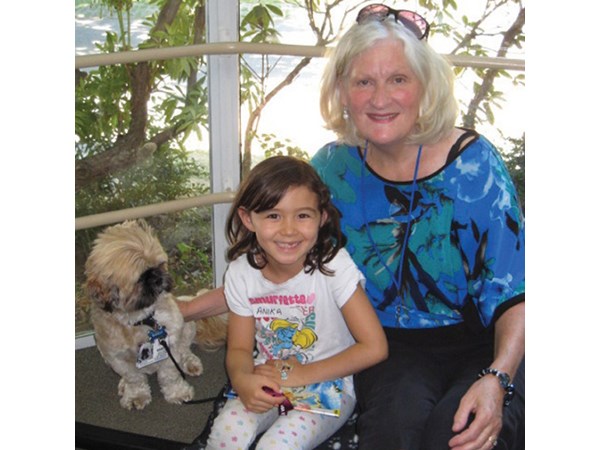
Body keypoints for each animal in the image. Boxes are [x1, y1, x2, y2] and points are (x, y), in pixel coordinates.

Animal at [84, 220, 225, 410]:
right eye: (140, 278)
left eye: (159, 265)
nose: (159, 278)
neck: (140, 320)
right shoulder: (116, 357)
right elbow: (134, 379)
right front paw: (136, 395)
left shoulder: (170, 345)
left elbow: (169, 375)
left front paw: (177, 393)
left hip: (187, 327)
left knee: (185, 349)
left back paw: (189, 362)